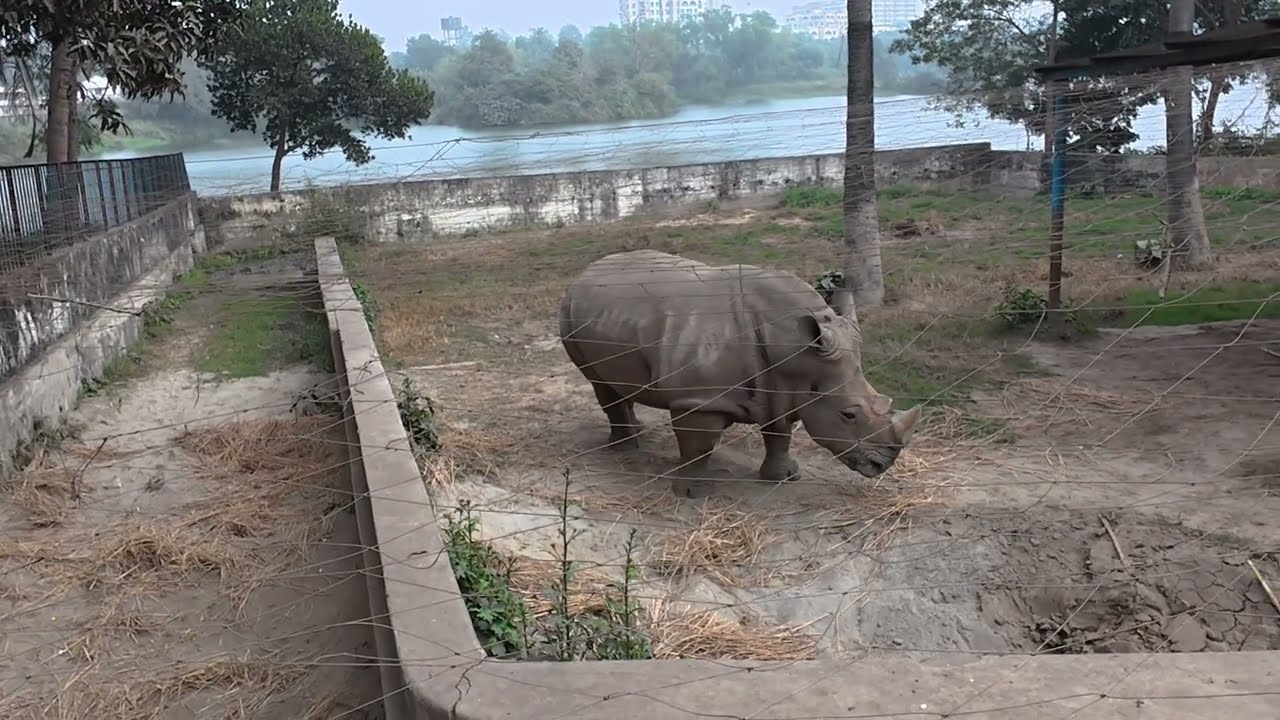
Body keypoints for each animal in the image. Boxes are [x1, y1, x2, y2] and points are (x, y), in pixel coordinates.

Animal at [558, 249, 922, 497]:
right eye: (848, 415)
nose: (882, 465)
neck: (795, 353)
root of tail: (587, 270)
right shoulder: (699, 400)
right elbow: (699, 446)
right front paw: (693, 493)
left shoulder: (784, 389)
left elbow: (779, 434)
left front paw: (785, 477)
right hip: (568, 312)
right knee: (599, 382)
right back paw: (626, 447)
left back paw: (636, 433)